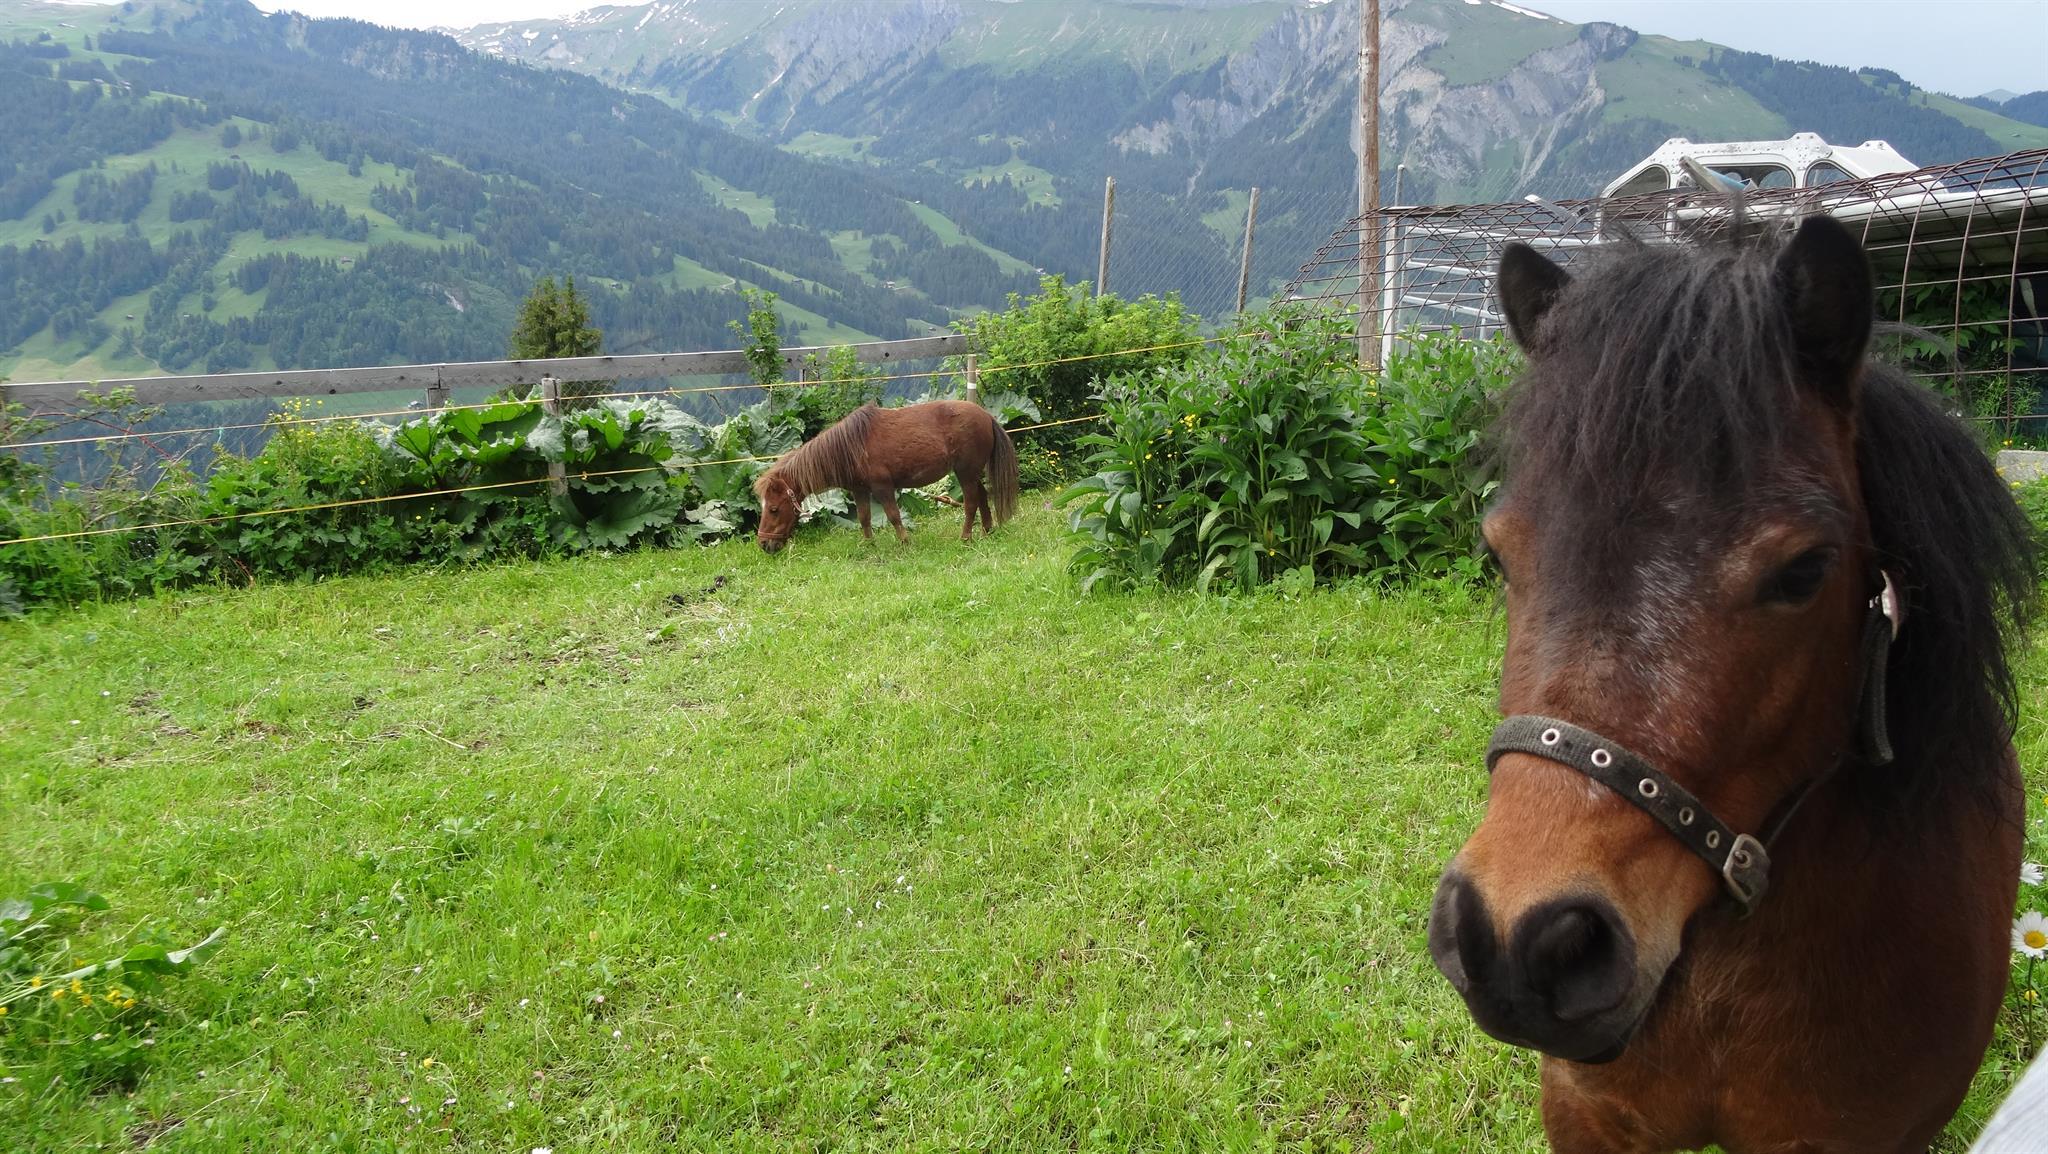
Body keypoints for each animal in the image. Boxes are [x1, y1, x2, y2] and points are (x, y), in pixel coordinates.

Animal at [753, 399, 1019, 554]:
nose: (765, 544)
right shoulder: (859, 490)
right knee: (982, 496)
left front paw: (904, 543)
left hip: (965, 473)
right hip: (971, 473)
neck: (851, 447)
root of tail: (986, 416)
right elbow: (864, 518)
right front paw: (869, 545)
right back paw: (987, 531)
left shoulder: (883, 488)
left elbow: (893, 516)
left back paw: (966, 537)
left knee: (971, 502)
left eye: (774, 509)